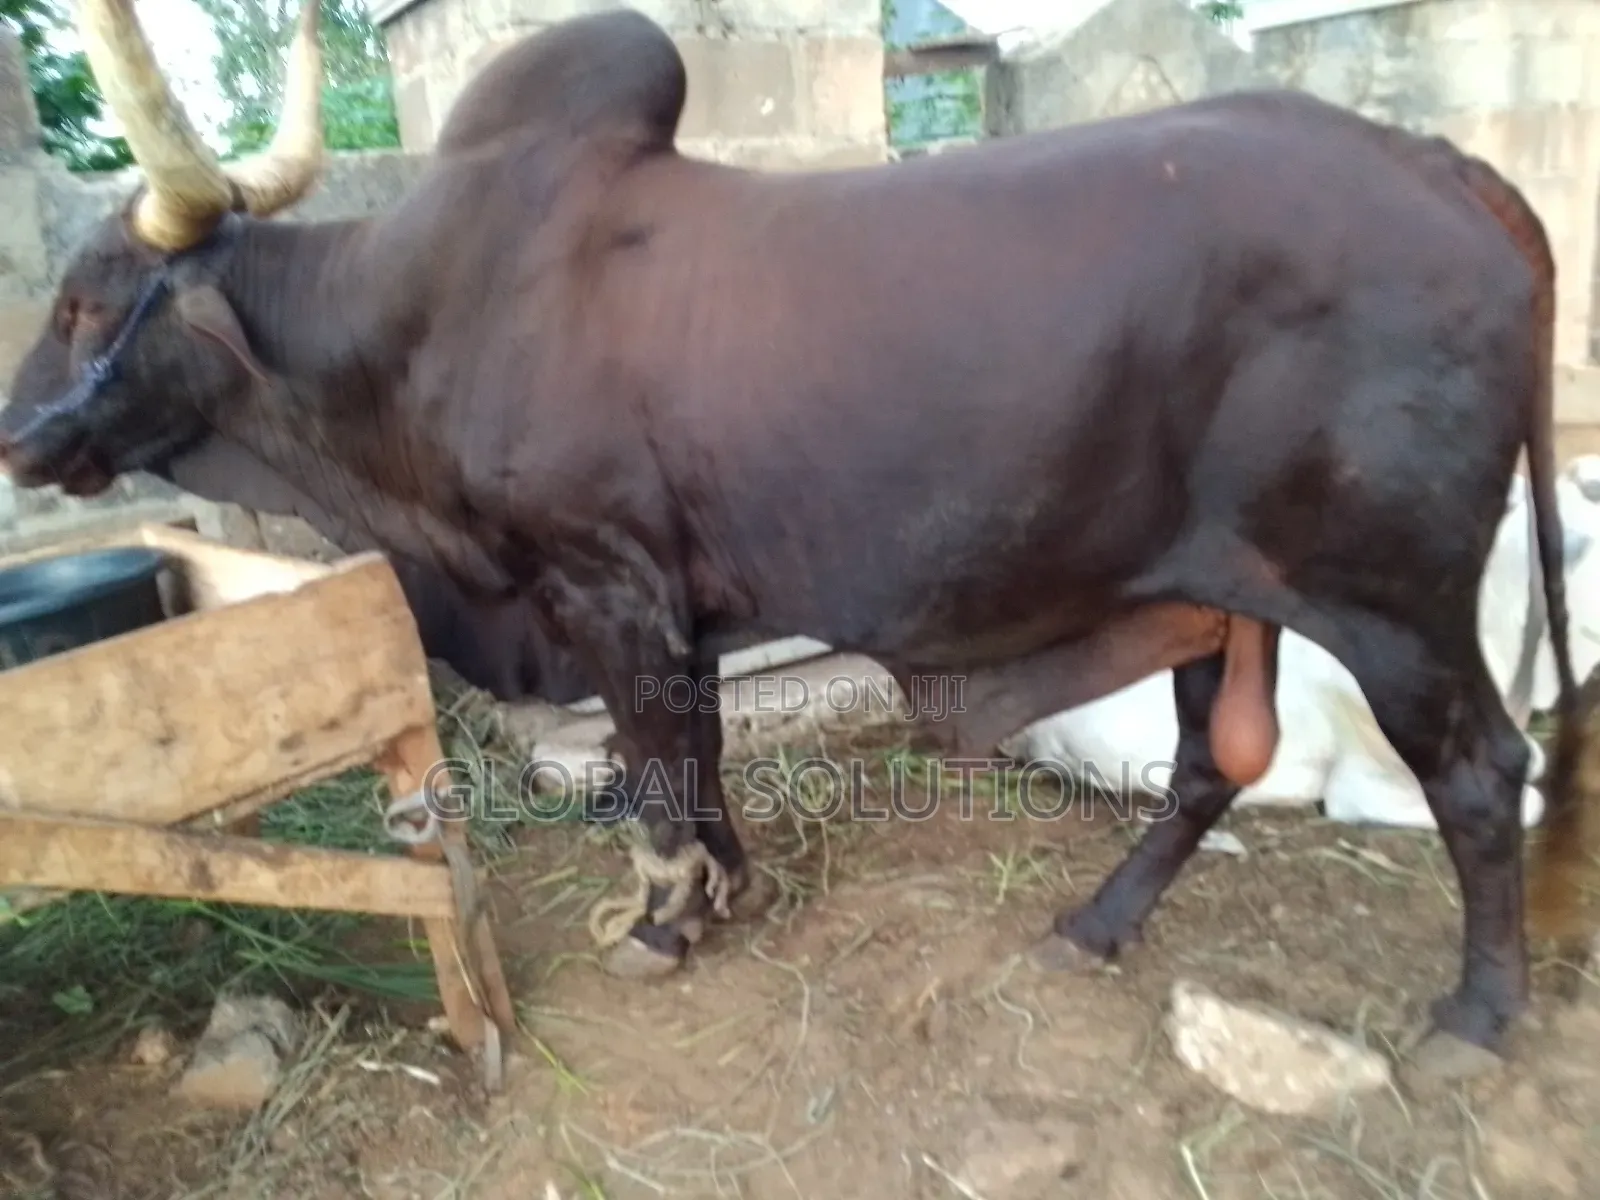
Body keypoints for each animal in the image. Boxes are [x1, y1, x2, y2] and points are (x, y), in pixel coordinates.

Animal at [0, 0, 1595, 1082]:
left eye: (86, 299)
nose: (18, 436)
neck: (414, 322)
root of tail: (1446, 164)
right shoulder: (681, 606)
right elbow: (697, 754)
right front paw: (733, 890)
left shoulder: (603, 586)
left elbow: (652, 777)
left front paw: (659, 926)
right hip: (1223, 595)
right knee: (1218, 761)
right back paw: (1095, 924)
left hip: (1390, 598)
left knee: (1480, 771)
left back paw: (1473, 1017)